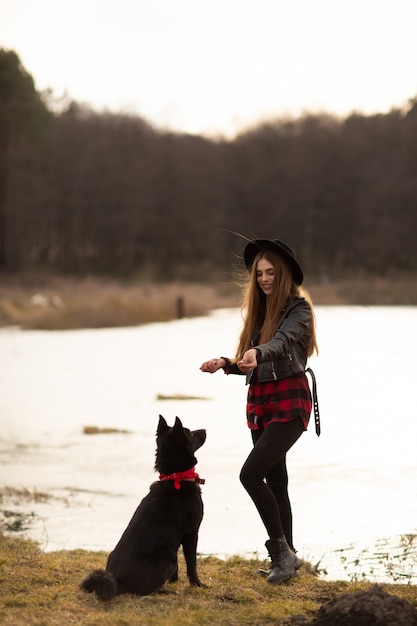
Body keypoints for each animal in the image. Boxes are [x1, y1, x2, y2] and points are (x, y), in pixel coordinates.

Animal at [79, 412, 206, 596]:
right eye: (189, 432)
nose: (205, 429)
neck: (176, 477)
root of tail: (119, 582)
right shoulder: (191, 533)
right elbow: (192, 564)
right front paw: (197, 584)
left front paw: (174, 583)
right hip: (167, 561)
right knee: (143, 590)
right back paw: (163, 592)